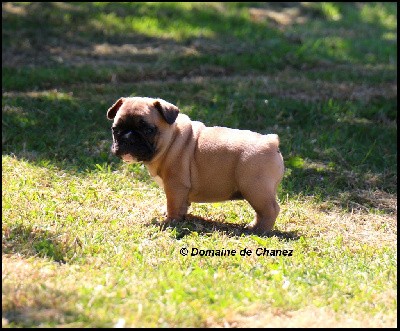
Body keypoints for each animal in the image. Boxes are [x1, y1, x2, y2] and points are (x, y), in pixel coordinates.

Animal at [107, 97, 284, 235]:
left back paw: (258, 229)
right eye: (115, 129)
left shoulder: (175, 186)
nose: (128, 138)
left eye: (148, 130)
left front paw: (170, 221)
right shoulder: (180, 191)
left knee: (270, 210)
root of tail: (271, 141)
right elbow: (181, 205)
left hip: (255, 189)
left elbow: (173, 204)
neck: (171, 139)